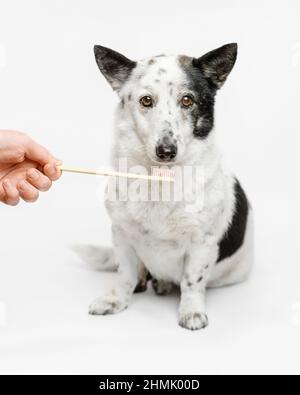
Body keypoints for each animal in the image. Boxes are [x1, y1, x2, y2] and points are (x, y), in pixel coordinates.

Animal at [81, 44, 253, 332]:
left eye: (188, 100)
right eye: (146, 101)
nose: (166, 151)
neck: (160, 179)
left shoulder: (201, 244)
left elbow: (192, 282)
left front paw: (191, 311)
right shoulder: (122, 235)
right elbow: (125, 275)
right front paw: (117, 299)